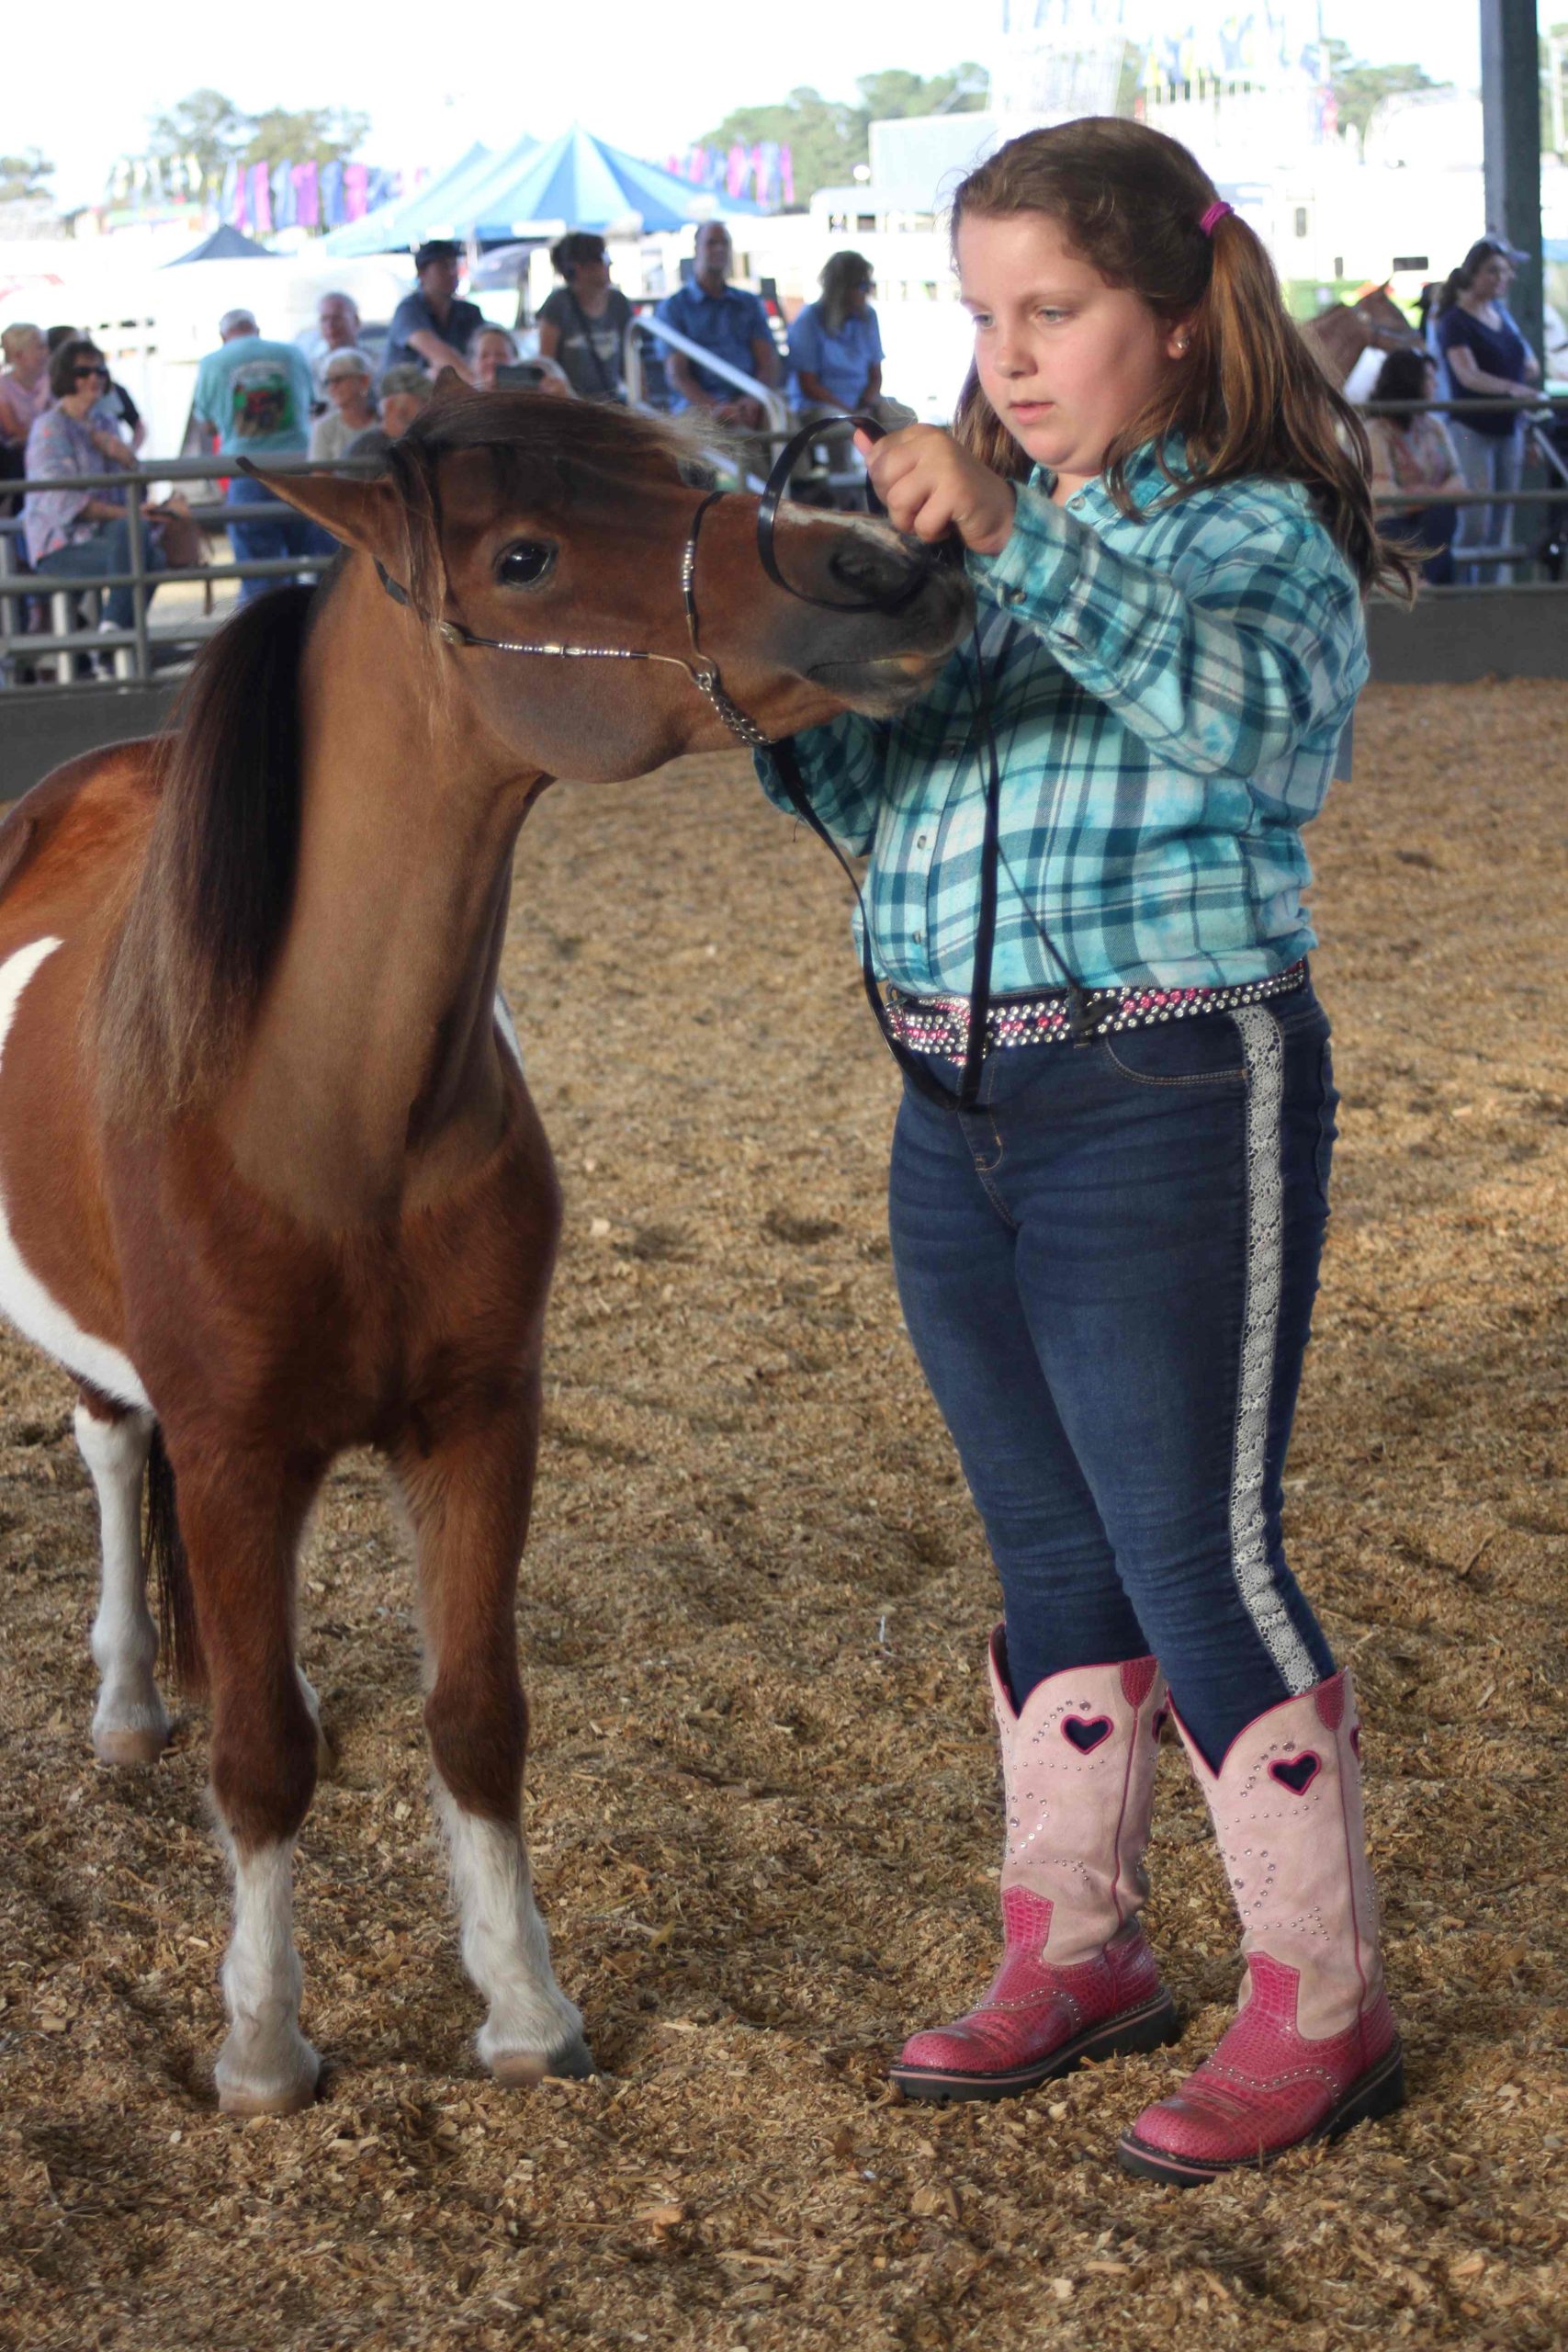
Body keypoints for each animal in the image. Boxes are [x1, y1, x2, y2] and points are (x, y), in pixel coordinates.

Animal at [0, 385, 968, 2117]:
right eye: (523, 557)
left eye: (681, 462)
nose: (884, 566)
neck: (326, 1108)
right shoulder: (234, 1445)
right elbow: (257, 1758)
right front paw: (264, 2045)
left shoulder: (474, 1421)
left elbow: (474, 1715)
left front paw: (525, 2010)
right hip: (114, 1369)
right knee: (112, 1459)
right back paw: (125, 1704)